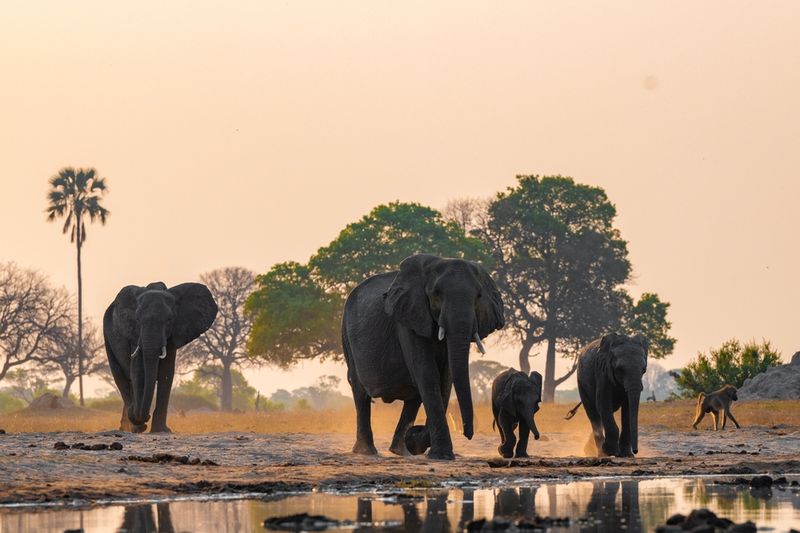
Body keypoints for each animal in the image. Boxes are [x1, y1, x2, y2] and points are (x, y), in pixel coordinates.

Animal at [103, 282, 217, 433]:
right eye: (137, 319)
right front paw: (140, 424)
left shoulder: (173, 334)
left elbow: (166, 372)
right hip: (107, 338)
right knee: (120, 377)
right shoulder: (133, 332)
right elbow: (138, 373)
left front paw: (161, 431)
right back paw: (132, 426)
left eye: (169, 320)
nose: (145, 417)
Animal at [342, 254, 504, 460]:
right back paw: (368, 451)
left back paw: (401, 451)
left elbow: (446, 378)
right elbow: (427, 373)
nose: (468, 434)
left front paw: (424, 446)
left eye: (478, 296)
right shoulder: (408, 319)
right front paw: (439, 454)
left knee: (413, 397)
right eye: (437, 294)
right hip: (346, 335)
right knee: (360, 391)